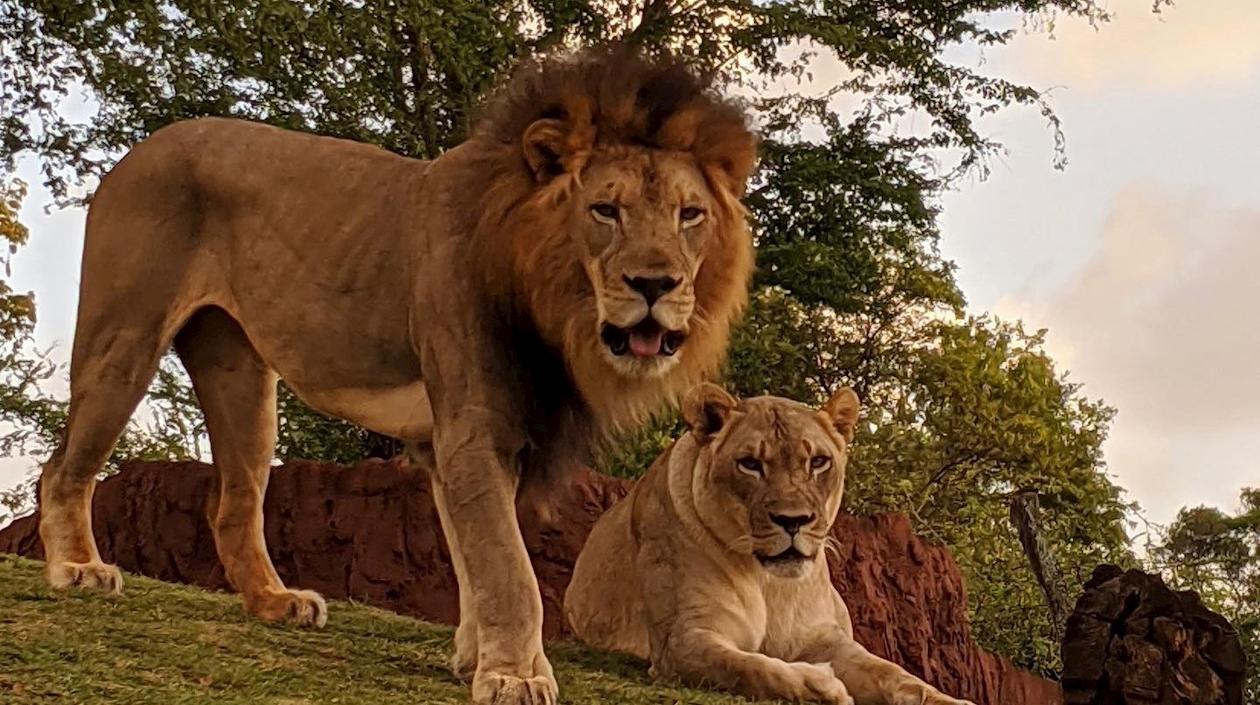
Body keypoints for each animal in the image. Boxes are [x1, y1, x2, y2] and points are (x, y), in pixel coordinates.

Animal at [36, 48, 756, 705]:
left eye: (690, 215)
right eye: (606, 210)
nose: (656, 284)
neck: (553, 299)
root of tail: (140, 148)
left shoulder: (449, 442)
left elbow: (471, 558)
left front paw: (474, 657)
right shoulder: (473, 428)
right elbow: (509, 566)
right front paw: (515, 673)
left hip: (242, 378)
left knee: (233, 504)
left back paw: (274, 602)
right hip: (124, 339)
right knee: (63, 466)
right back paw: (77, 568)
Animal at [564, 384, 977, 705]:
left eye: (818, 461)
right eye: (749, 464)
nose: (793, 520)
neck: (769, 581)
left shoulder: (825, 638)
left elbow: (894, 673)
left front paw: (947, 698)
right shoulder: (682, 640)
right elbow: (751, 667)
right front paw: (822, 685)